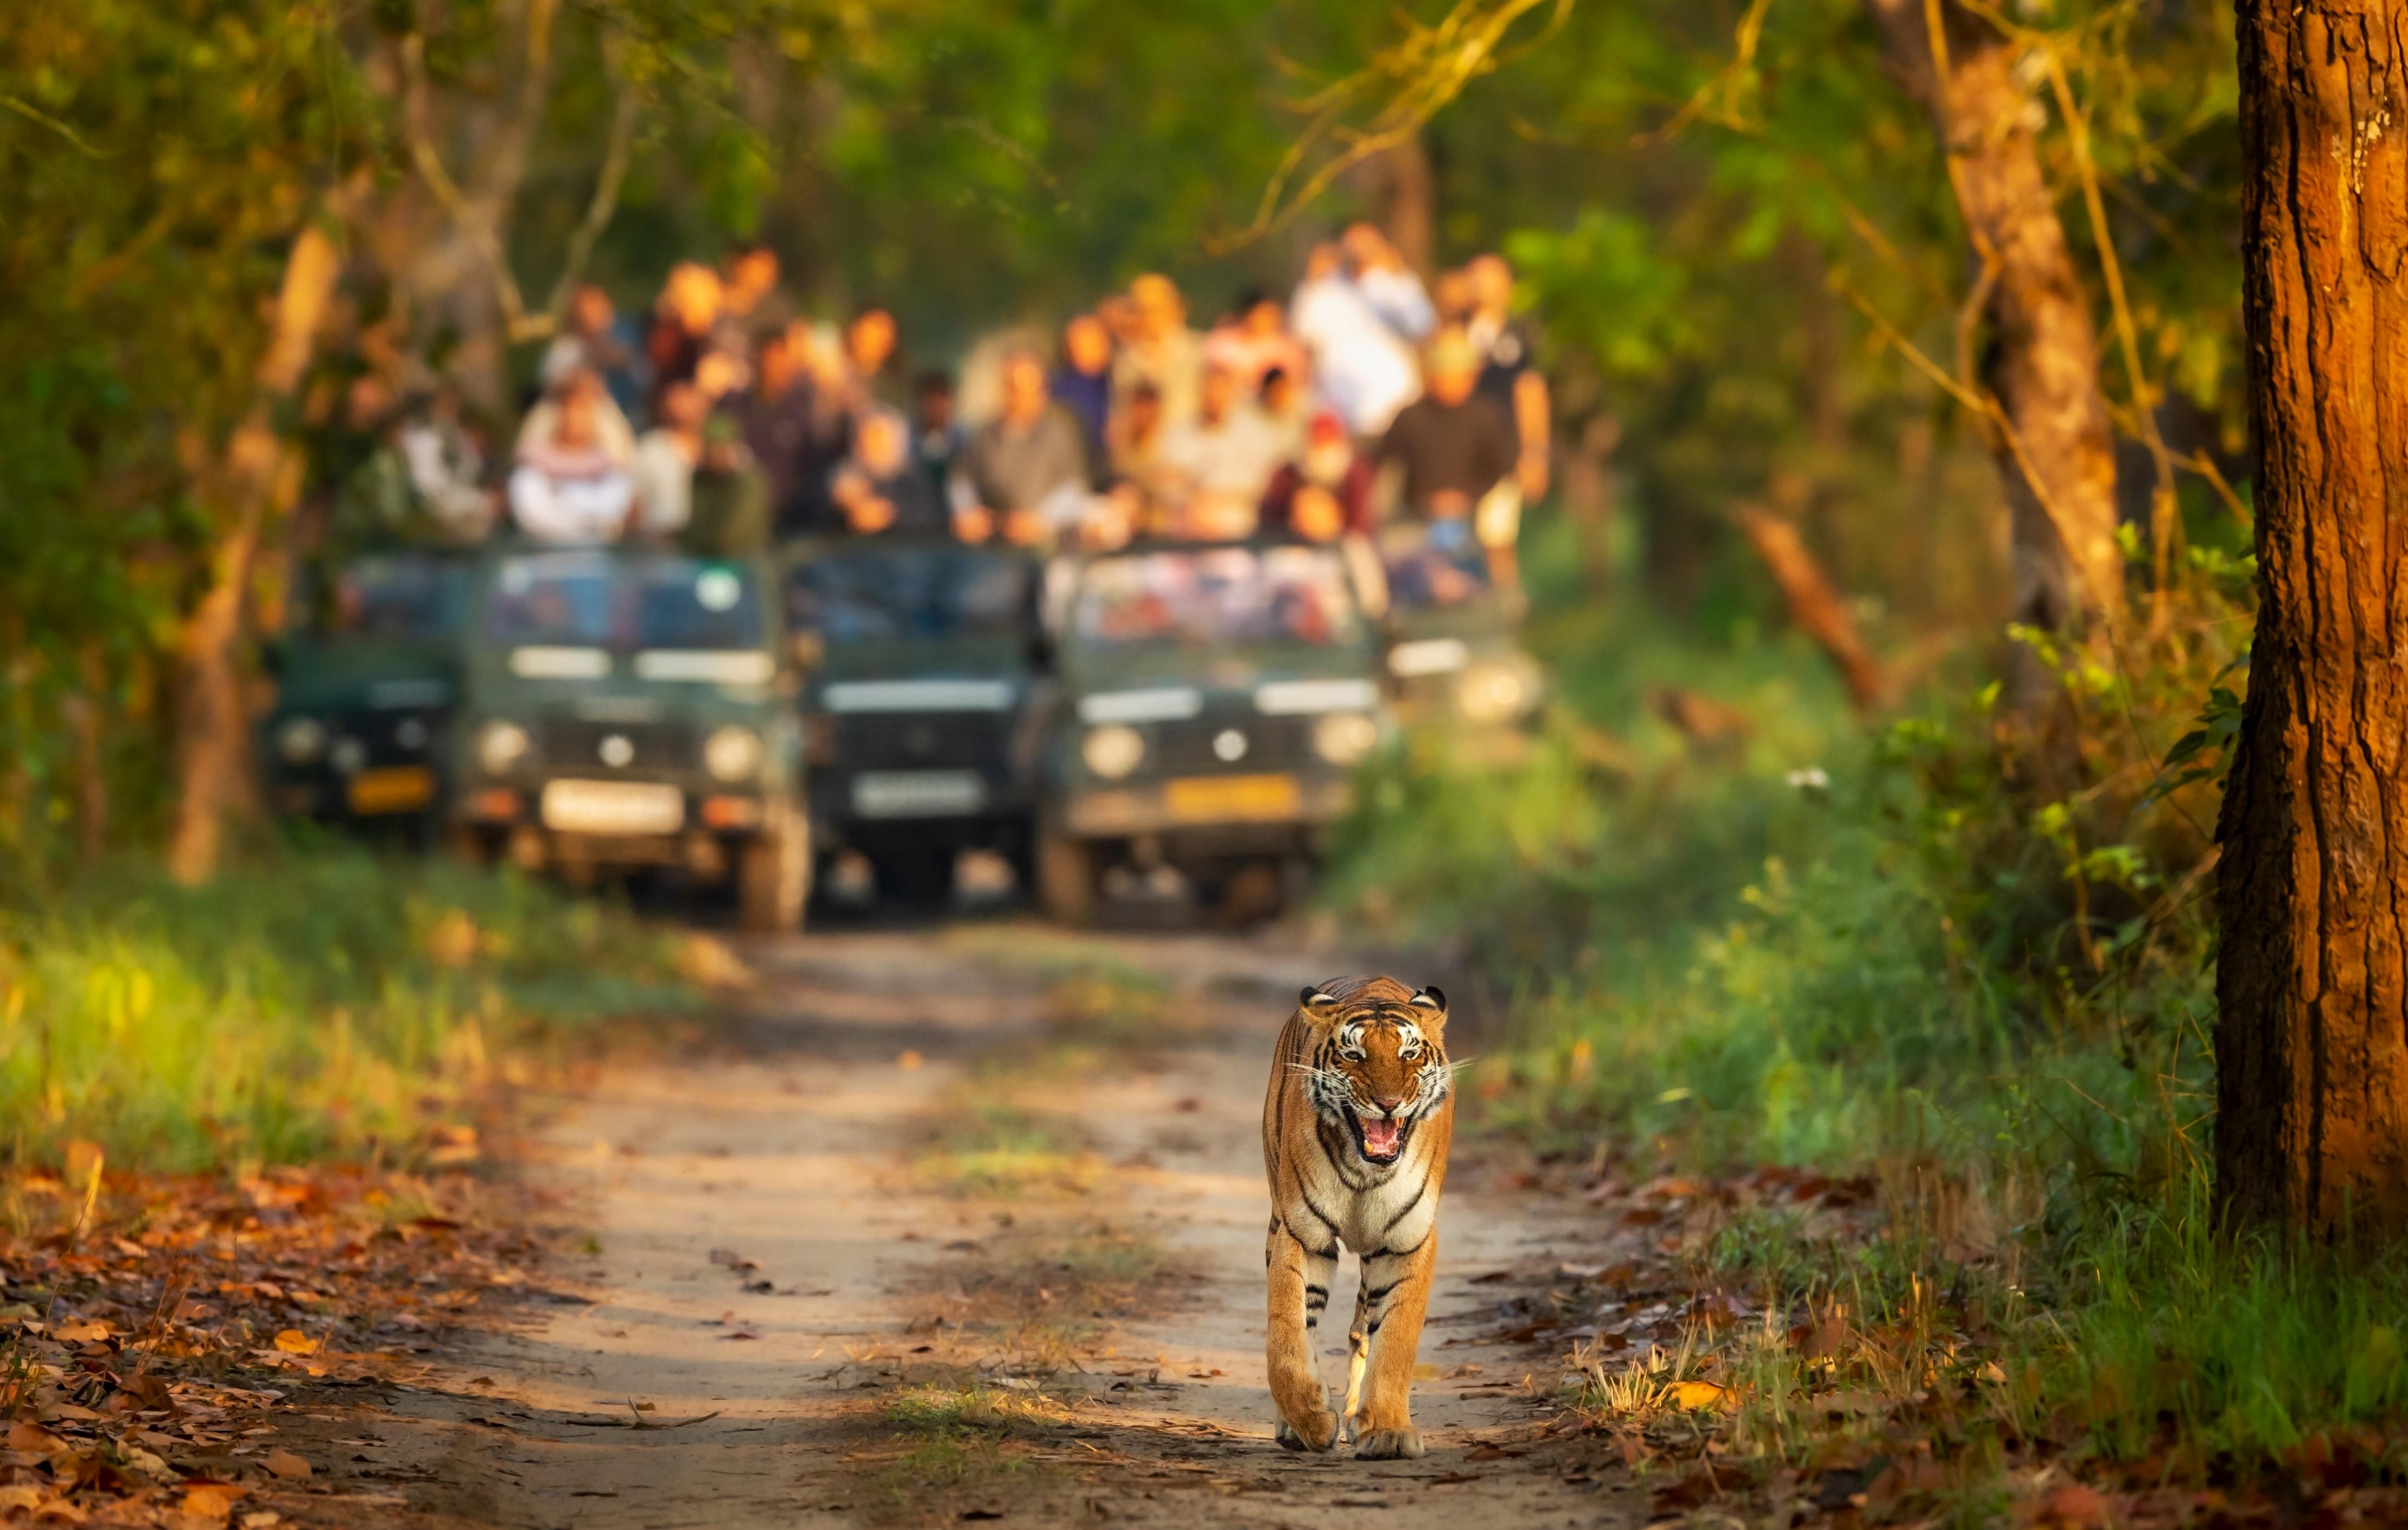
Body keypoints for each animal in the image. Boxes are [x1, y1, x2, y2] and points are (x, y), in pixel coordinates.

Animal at [1262, 983, 1444, 1465]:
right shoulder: (1302, 1234)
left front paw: (1387, 1431)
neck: (1366, 1171)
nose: (1388, 1104)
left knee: (1363, 1331)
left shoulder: (1407, 1242)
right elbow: (1286, 1334)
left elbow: (1395, 1339)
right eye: (1354, 1056)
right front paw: (1310, 1419)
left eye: (1409, 1054)